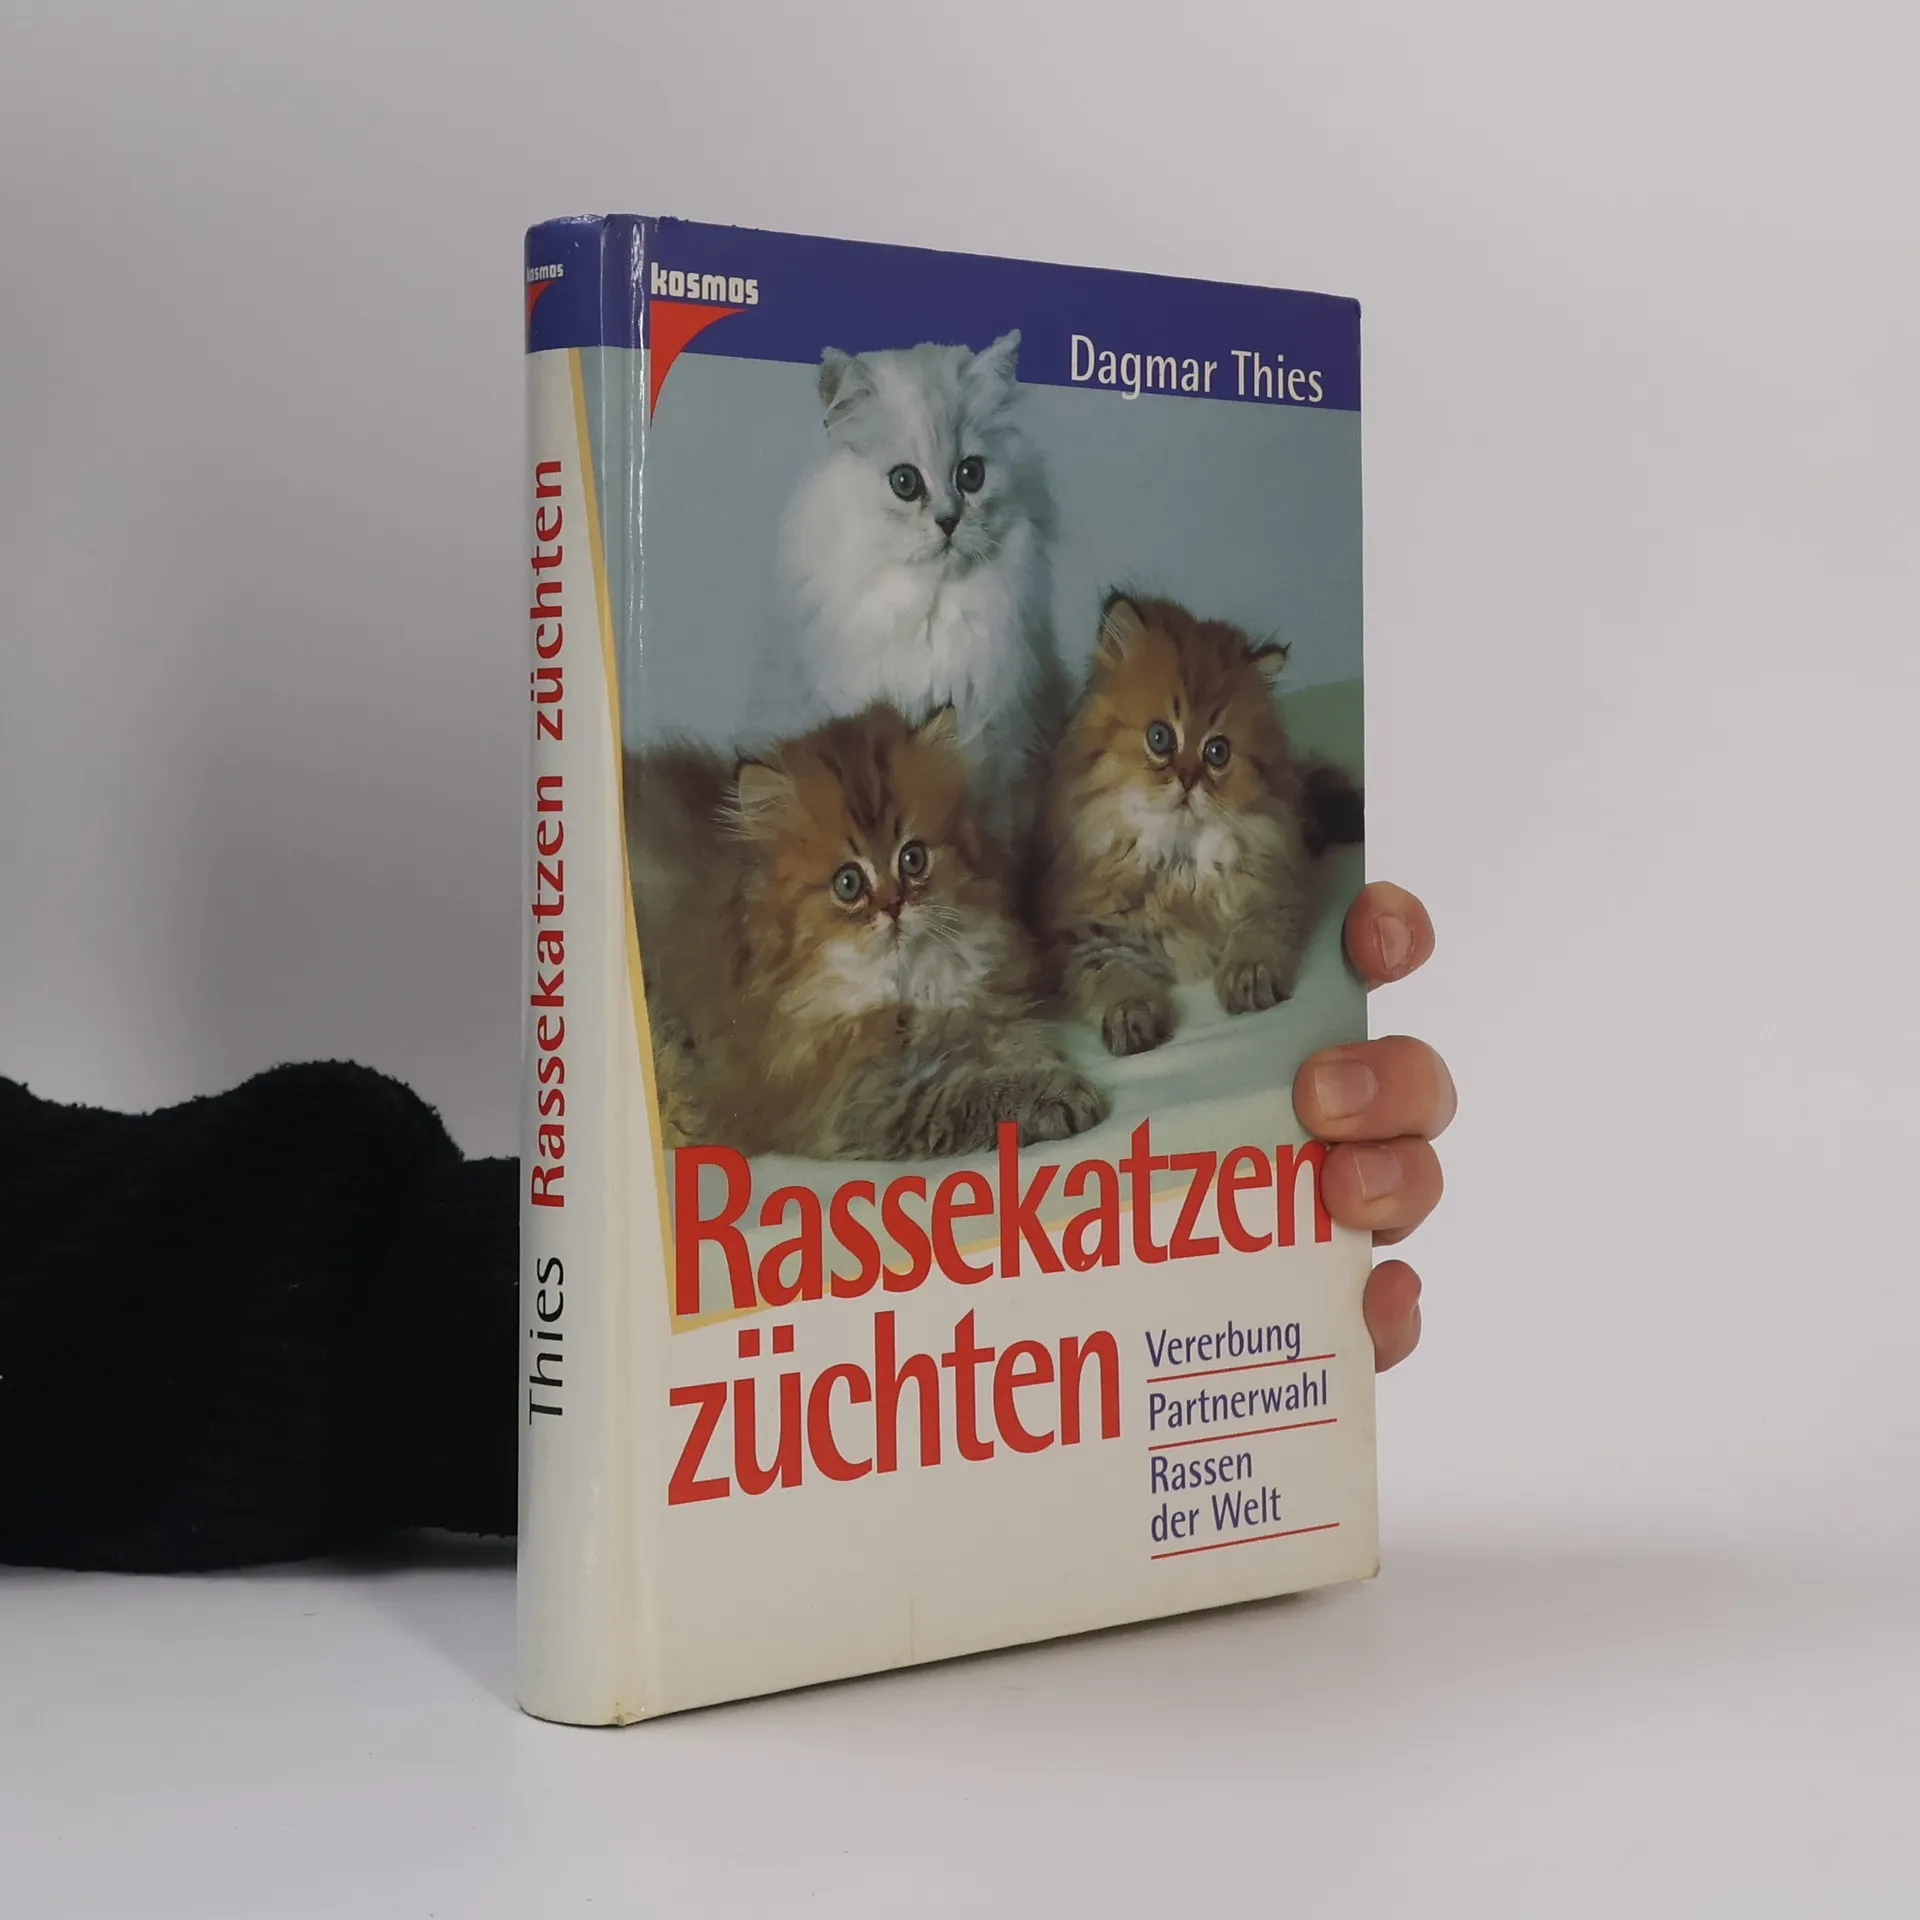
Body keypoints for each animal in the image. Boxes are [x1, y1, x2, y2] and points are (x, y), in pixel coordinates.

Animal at [626, 701, 1107, 1161]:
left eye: (913, 858)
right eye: (848, 883)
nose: (893, 906)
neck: (902, 988)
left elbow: (1002, 1031)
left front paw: (1033, 1056)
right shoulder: (852, 1101)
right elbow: (960, 1095)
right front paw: (1054, 1093)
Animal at [1033, 593, 1357, 1057]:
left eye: (1217, 752)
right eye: (1159, 737)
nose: (1188, 780)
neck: (1178, 863)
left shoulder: (1271, 889)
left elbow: (1256, 933)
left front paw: (1250, 976)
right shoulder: (1079, 931)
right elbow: (1112, 974)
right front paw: (1131, 1015)